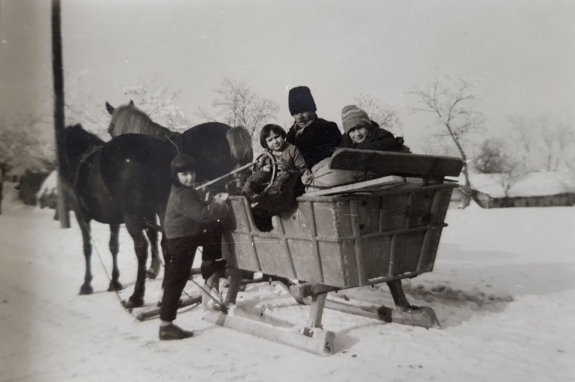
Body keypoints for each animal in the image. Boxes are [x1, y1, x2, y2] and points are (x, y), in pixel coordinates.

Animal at [62, 124, 176, 308]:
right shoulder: (114, 219)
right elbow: (113, 246)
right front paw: (115, 282)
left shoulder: (82, 216)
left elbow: (87, 247)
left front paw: (86, 285)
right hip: (162, 209)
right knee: (166, 243)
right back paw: (164, 294)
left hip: (132, 216)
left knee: (141, 247)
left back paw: (137, 297)